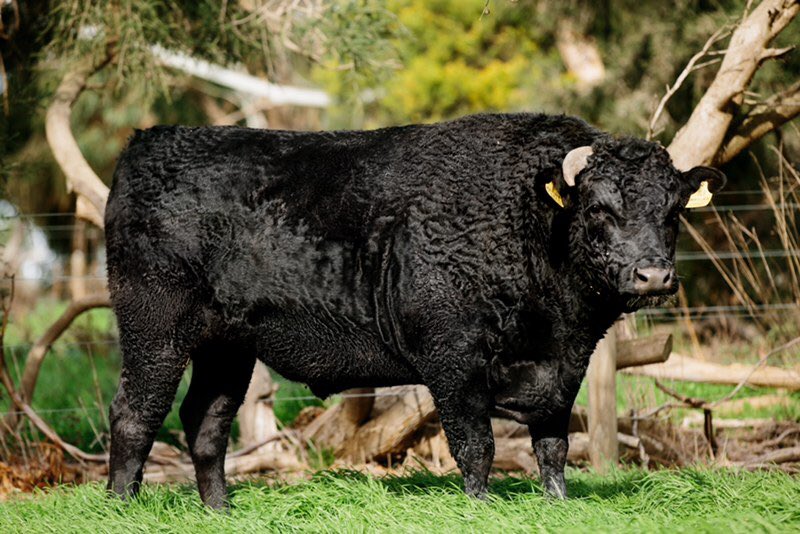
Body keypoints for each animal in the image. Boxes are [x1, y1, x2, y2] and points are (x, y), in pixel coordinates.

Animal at [104, 113, 724, 508]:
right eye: (598, 208)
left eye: (672, 210)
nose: (653, 275)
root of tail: (149, 142)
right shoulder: (454, 361)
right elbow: (477, 447)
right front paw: (481, 509)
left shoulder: (563, 368)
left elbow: (553, 448)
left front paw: (558, 506)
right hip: (154, 330)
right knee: (135, 414)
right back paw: (122, 506)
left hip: (227, 348)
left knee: (205, 422)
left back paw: (220, 509)